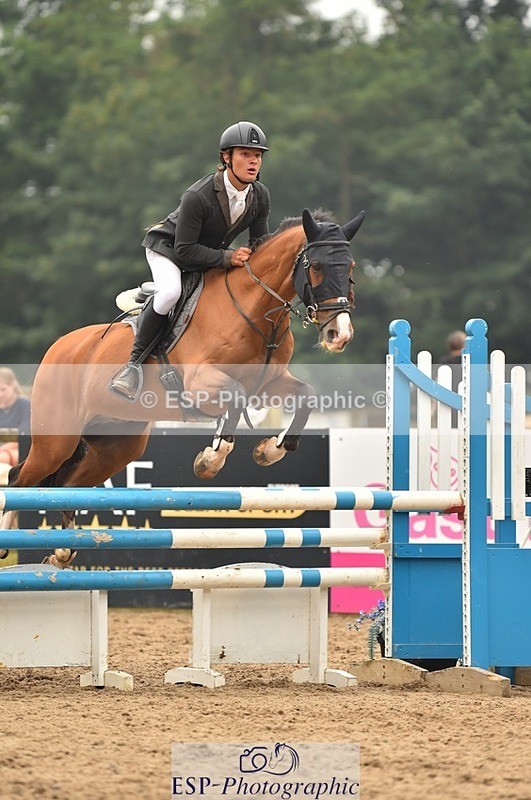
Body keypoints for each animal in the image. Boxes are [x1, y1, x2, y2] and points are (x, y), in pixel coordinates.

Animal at [1, 207, 365, 566]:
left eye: (349, 267)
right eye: (315, 266)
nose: (340, 334)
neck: (256, 309)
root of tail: (58, 347)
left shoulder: (268, 383)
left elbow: (307, 397)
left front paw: (268, 451)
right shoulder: (202, 383)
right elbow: (234, 401)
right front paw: (210, 461)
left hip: (117, 445)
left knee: (69, 484)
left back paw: (63, 551)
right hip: (57, 441)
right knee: (19, 478)